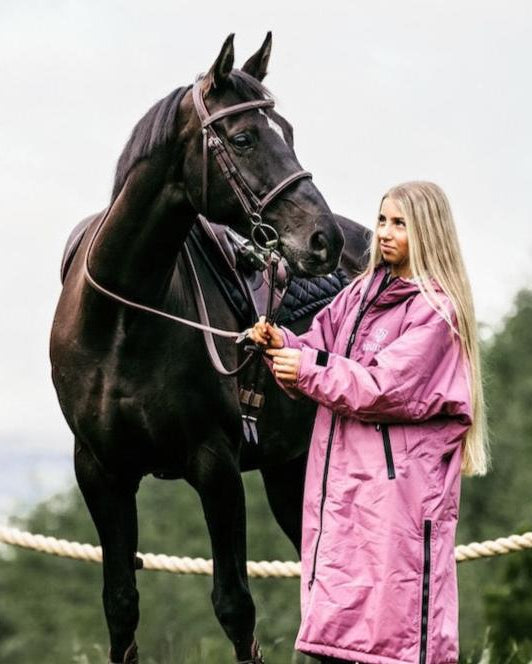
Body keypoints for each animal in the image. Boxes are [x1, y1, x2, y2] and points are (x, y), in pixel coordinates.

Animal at [50, 33, 369, 664]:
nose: (321, 239)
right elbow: (120, 605)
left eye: (286, 131)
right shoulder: (100, 471)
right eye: (243, 138)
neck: (123, 317)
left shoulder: (214, 465)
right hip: (289, 471)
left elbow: (235, 607)